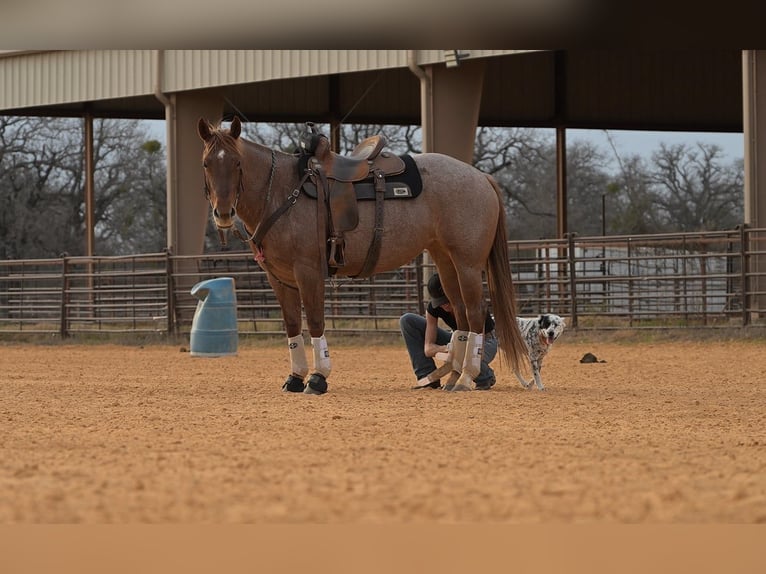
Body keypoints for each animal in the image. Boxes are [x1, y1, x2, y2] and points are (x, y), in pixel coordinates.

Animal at [197, 116, 528, 394]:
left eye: (237, 163)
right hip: (445, 260)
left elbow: (314, 322)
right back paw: (453, 377)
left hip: (468, 263)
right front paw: (294, 378)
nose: (223, 214)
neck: (282, 192)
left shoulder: (308, 272)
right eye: (206, 164)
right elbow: (292, 326)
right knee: (459, 312)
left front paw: (317, 378)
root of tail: (480, 177)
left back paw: (468, 376)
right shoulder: (279, 278)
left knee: (474, 312)